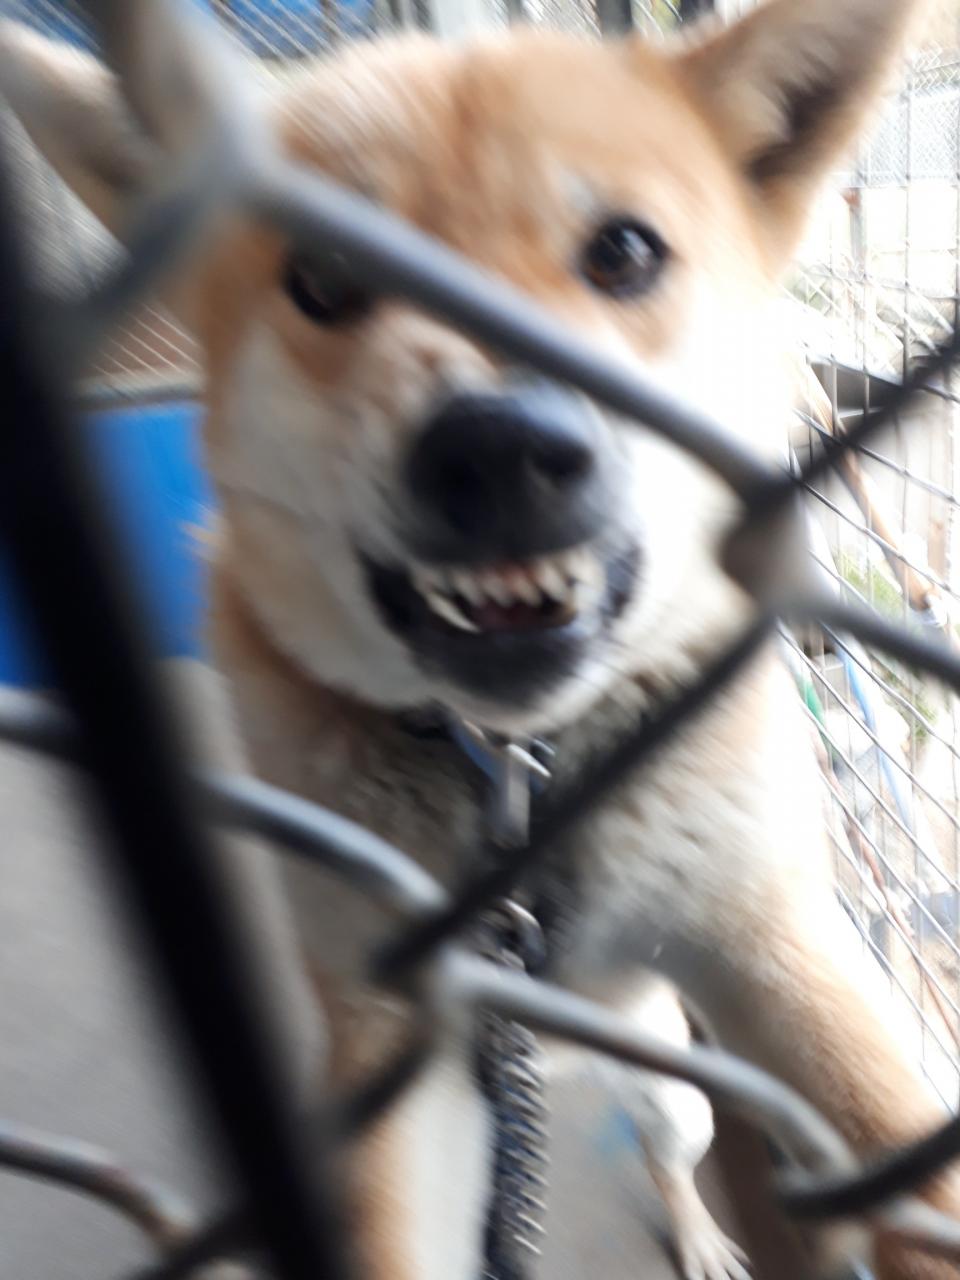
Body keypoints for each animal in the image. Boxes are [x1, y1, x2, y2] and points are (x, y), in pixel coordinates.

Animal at [4, 2, 959, 1276]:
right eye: (323, 275)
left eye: (624, 253)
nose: (500, 449)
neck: (520, 766)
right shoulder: (391, 1026)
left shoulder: (771, 944)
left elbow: (903, 1152)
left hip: (678, 1082)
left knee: (673, 1143)